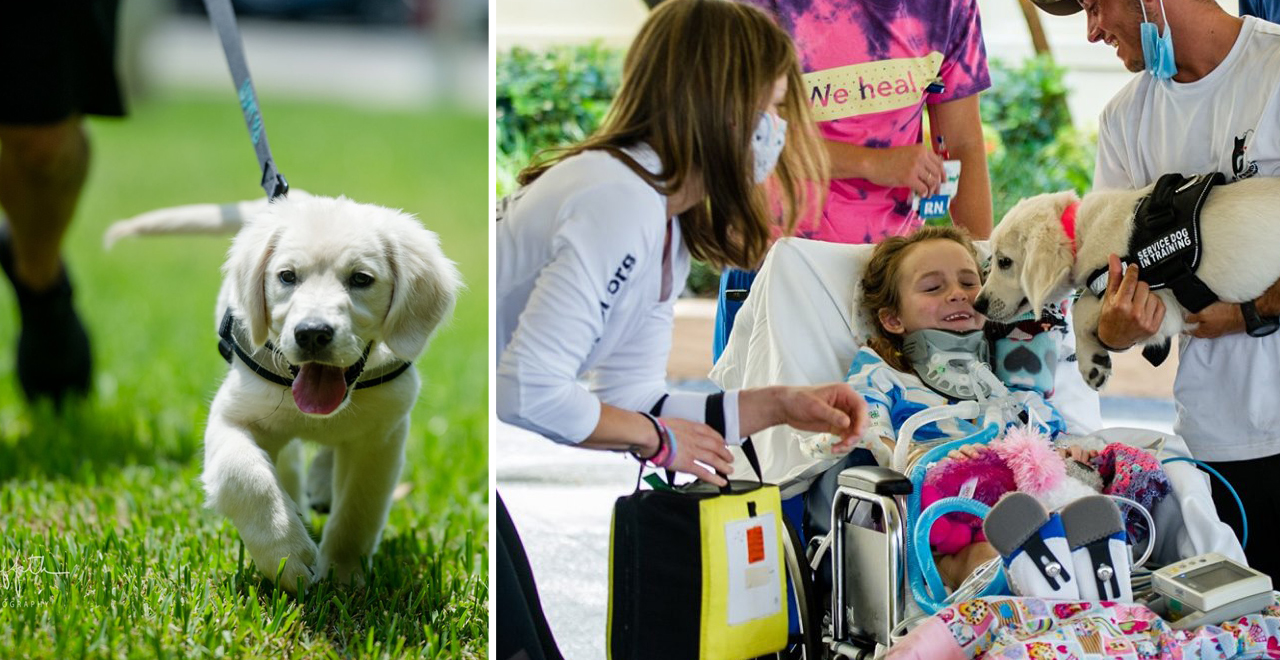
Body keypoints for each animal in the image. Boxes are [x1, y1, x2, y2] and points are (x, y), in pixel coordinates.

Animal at [106, 193, 460, 590]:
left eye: (361, 279)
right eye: (287, 276)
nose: (312, 333)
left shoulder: (382, 435)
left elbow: (358, 509)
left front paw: (342, 573)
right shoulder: (232, 417)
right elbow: (247, 477)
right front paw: (286, 556)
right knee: (286, 466)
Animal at [972, 176, 1280, 391]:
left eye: (1004, 262)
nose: (978, 305)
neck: (1081, 231)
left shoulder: (1159, 301)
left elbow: (1081, 307)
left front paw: (1091, 363)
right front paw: (1095, 361)